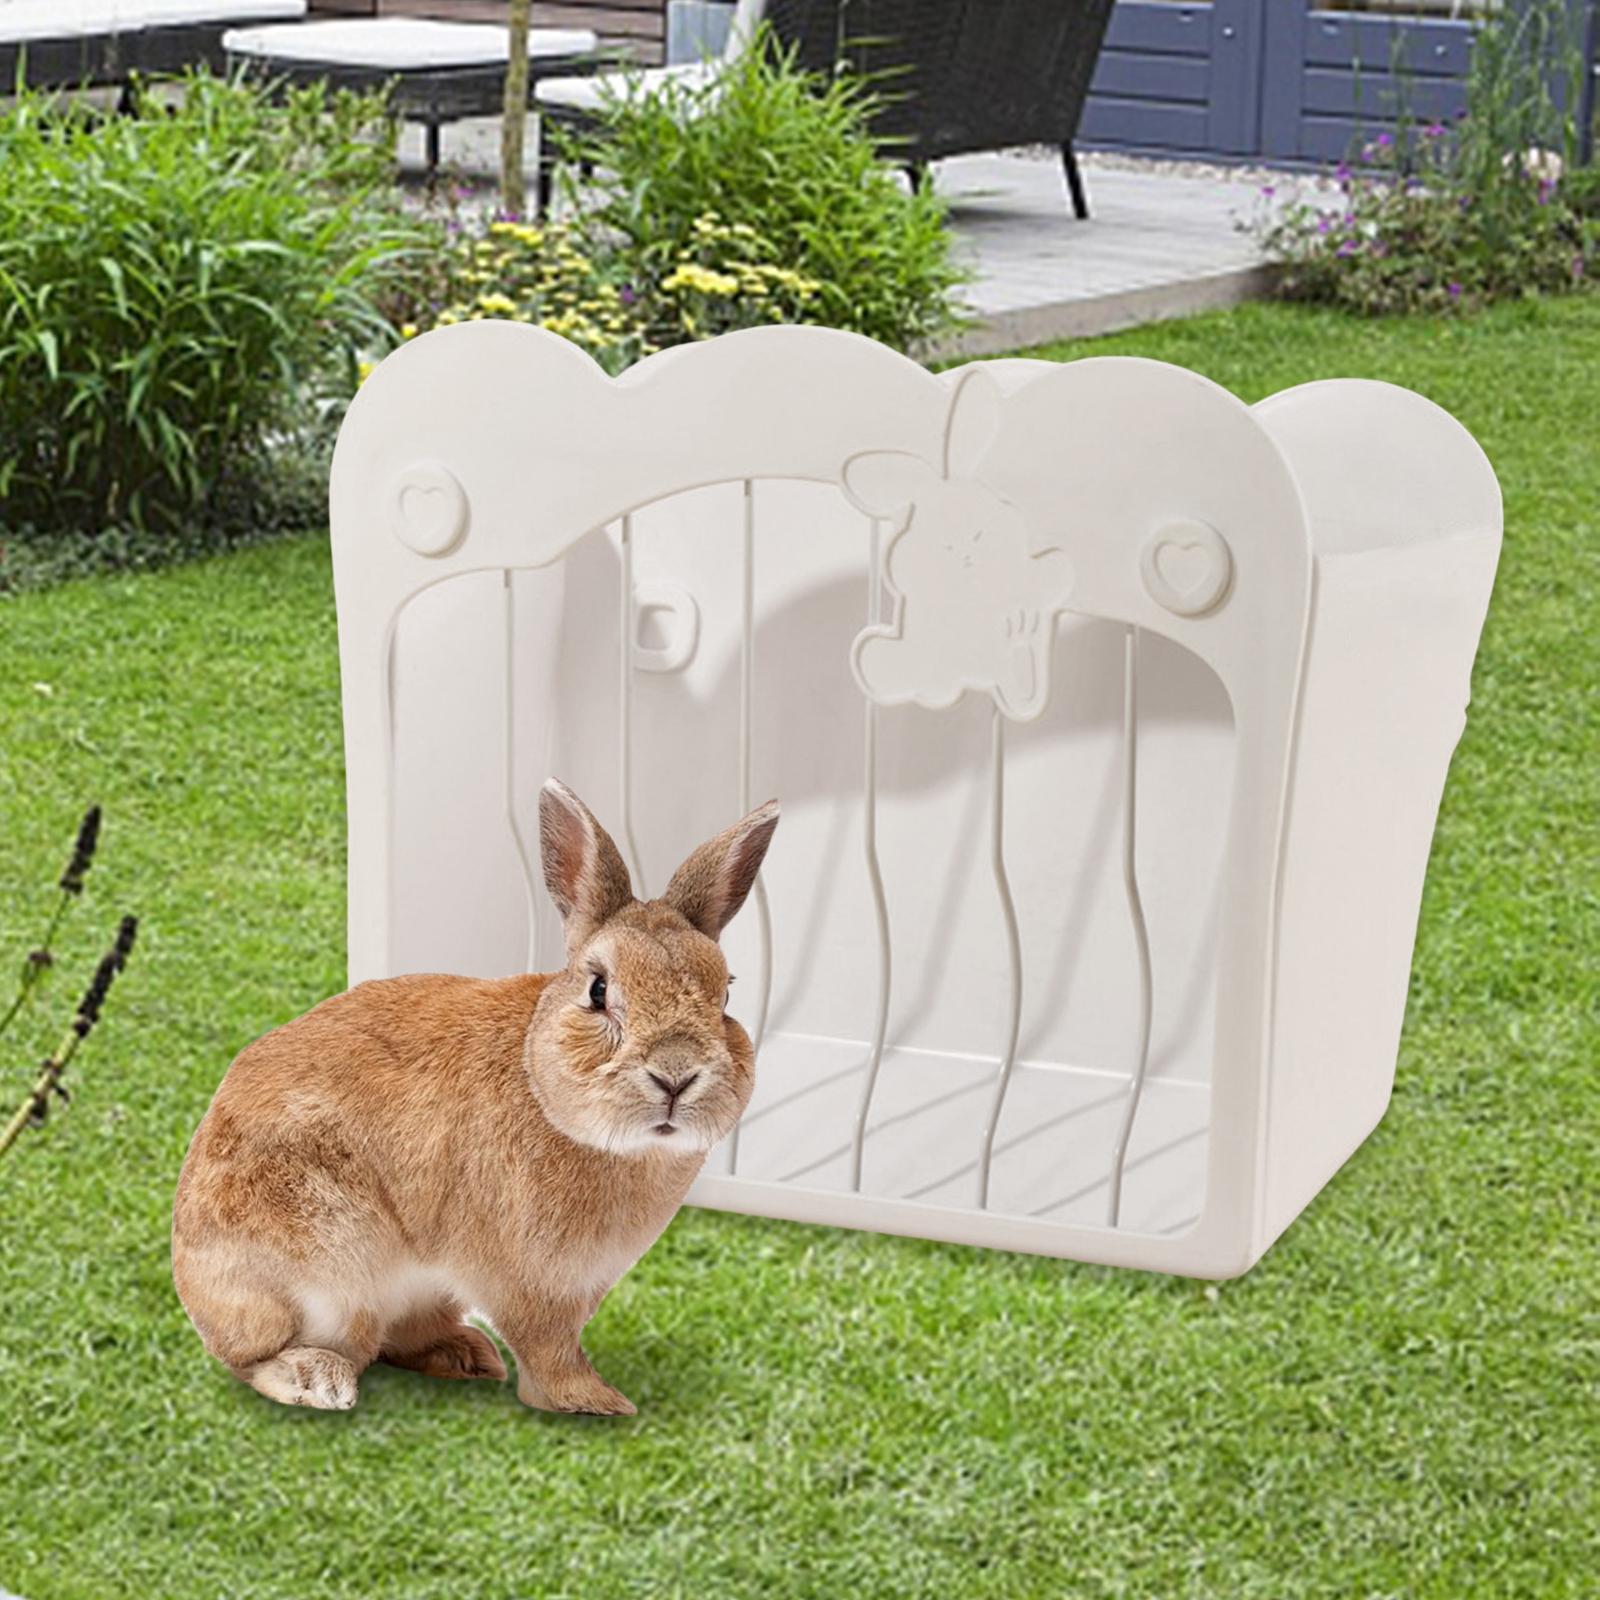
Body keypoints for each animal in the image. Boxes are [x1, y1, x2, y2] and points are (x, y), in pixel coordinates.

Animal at [172, 779, 779, 1416]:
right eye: (598, 990)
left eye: (726, 995)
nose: (676, 1075)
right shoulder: (527, 1280)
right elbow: (548, 1348)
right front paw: (596, 1402)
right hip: (325, 1272)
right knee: (258, 1356)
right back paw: (318, 1379)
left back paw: (465, 1356)